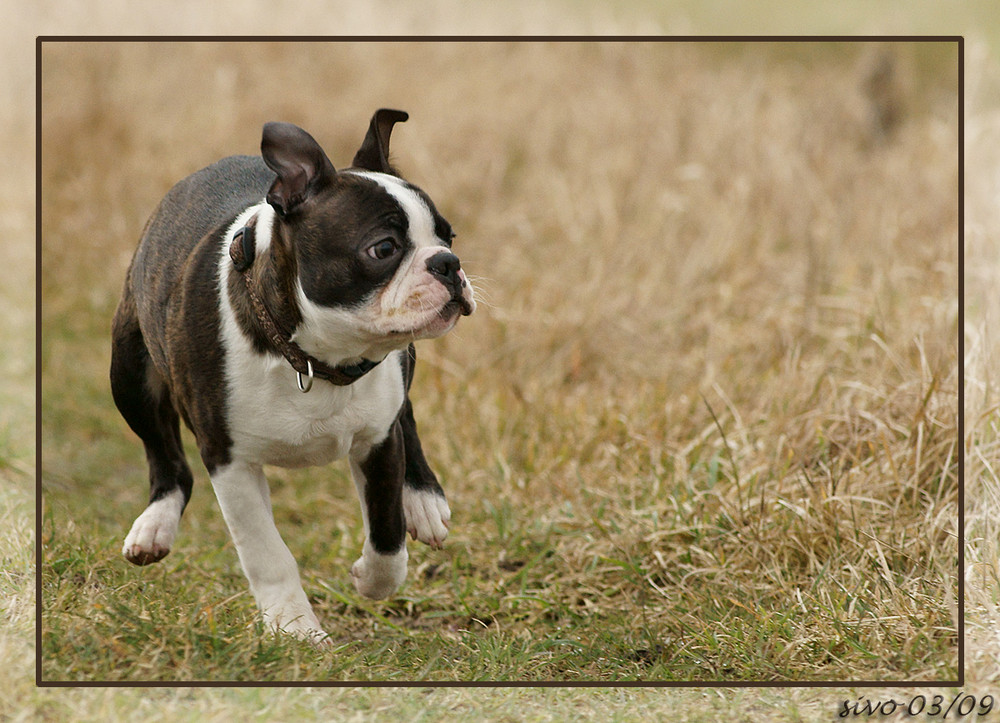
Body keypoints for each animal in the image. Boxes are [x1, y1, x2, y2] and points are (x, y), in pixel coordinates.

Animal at [109, 110, 476, 640]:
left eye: (448, 238)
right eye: (383, 248)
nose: (448, 263)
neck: (317, 358)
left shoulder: (378, 441)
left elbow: (386, 533)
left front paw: (372, 579)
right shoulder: (229, 459)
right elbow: (267, 554)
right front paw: (296, 628)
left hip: (403, 365)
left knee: (405, 413)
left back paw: (423, 499)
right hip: (130, 374)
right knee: (165, 456)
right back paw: (155, 523)